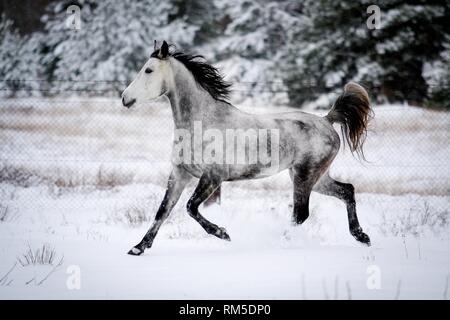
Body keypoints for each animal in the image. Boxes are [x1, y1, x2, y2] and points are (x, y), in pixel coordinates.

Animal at [121, 40, 370, 255]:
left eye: (148, 70)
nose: (125, 98)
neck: (203, 122)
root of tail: (327, 121)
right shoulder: (180, 174)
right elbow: (163, 210)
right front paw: (138, 247)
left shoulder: (213, 176)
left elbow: (191, 207)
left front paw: (222, 233)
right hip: (315, 178)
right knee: (347, 191)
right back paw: (362, 236)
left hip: (305, 176)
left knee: (301, 214)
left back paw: (280, 242)